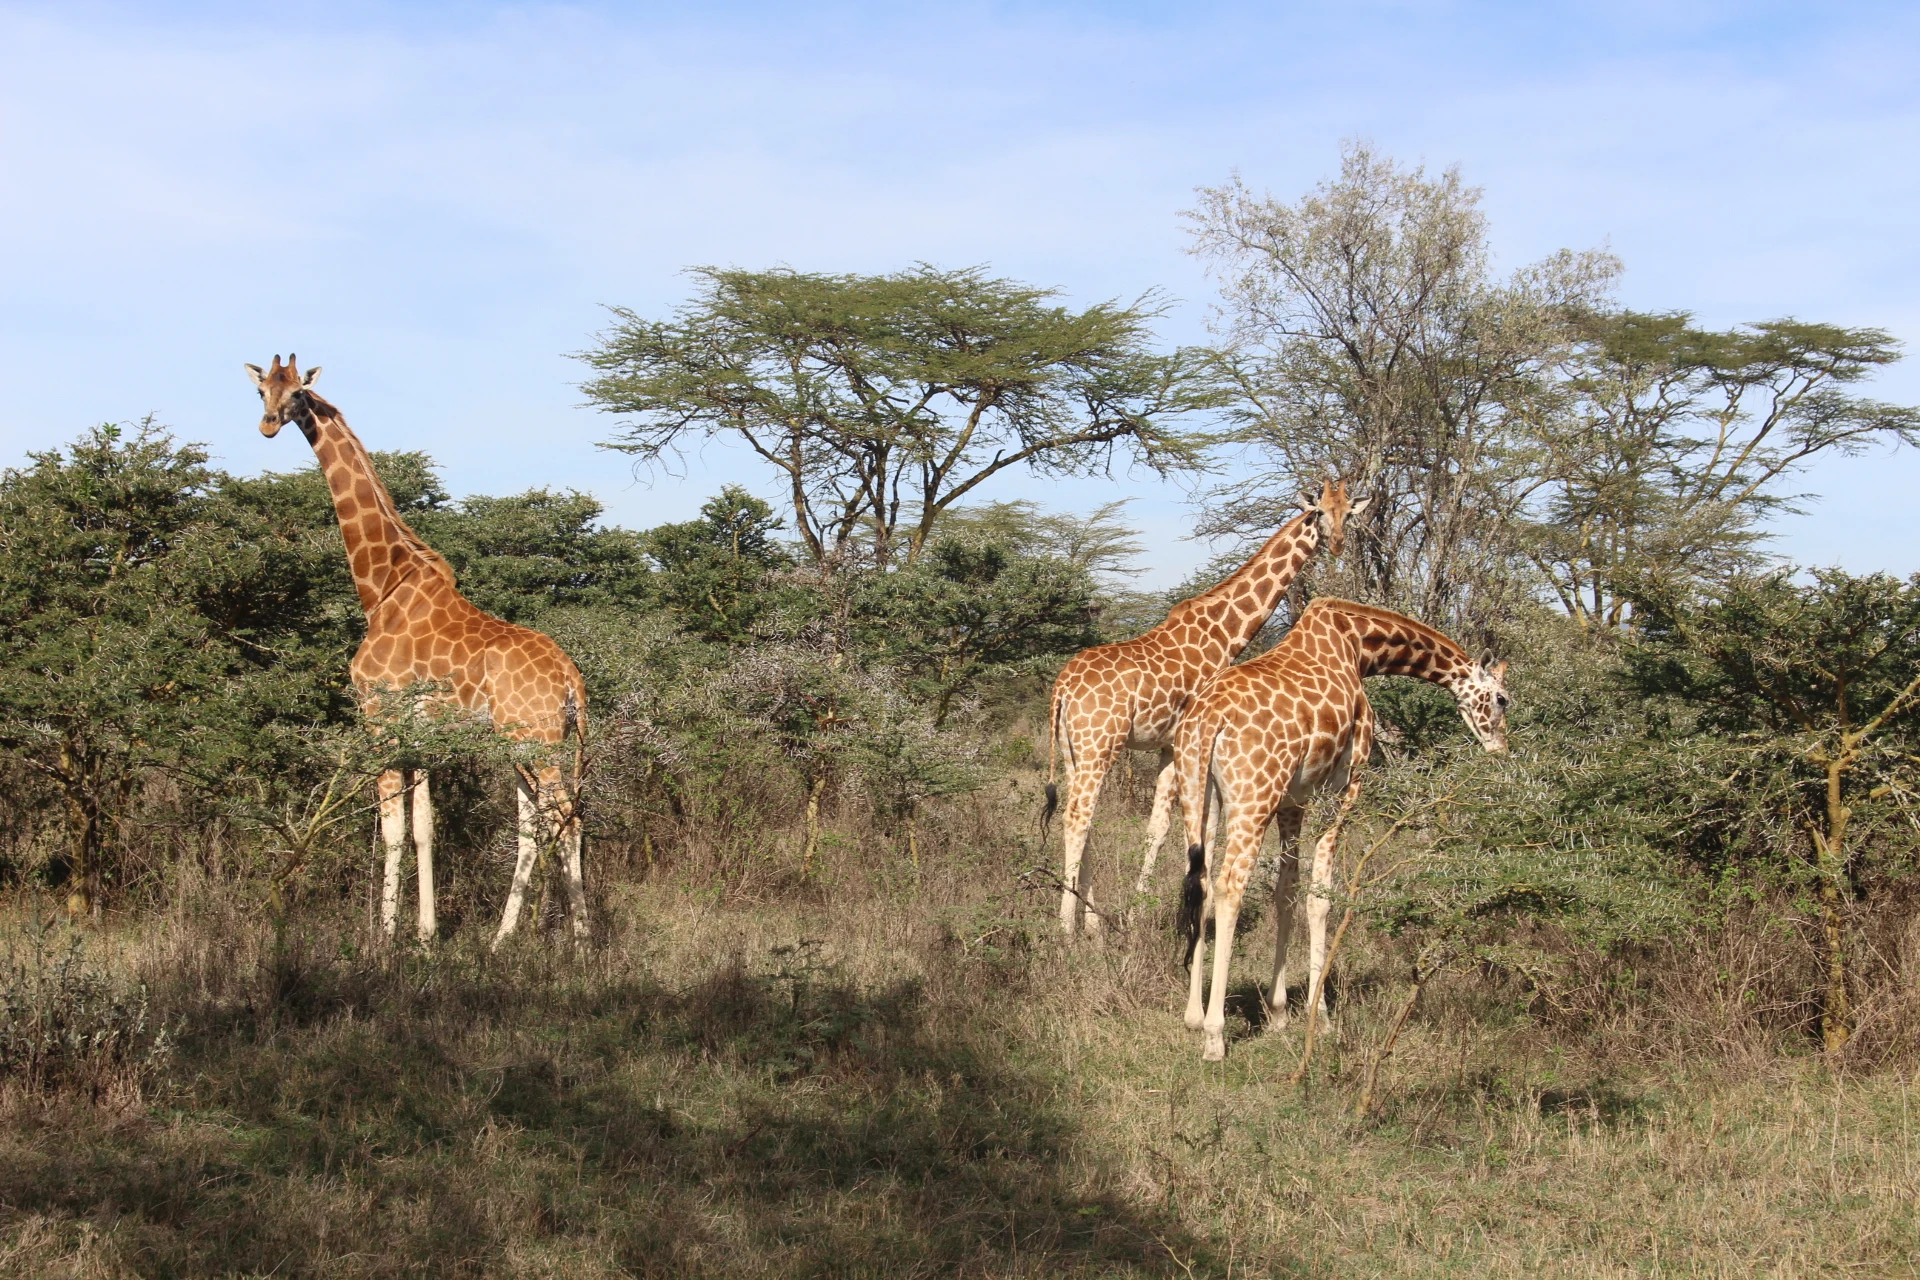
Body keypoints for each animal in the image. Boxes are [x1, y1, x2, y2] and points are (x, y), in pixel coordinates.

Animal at [246, 354, 588, 948]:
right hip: (527, 742)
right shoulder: (419, 732)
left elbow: (392, 829)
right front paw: (426, 937)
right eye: (262, 389)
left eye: (297, 395)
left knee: (568, 818)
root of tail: (572, 678)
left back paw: (583, 943)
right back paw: (504, 939)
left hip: (534, 740)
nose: (268, 424)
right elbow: (425, 826)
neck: (381, 587)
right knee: (539, 823)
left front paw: (383, 941)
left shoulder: (378, 714)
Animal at [1043, 480, 1367, 936]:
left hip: (1073, 749)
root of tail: (1062, 687)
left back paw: (1092, 924)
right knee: (1077, 818)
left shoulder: (1169, 746)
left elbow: (1158, 829)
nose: (1337, 542)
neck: (1223, 634)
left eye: (1348, 514)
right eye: (1319, 512)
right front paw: (1185, 914)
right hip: (1099, 744)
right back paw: (1066, 930)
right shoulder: (1191, 743)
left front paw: (1143, 913)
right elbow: (1194, 831)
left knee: (1082, 820)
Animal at [1173, 598, 1508, 1062]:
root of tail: (1209, 719)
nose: (1501, 750)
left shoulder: (1292, 800)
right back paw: (1214, 1035)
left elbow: (1287, 892)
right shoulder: (1346, 785)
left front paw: (1279, 1013)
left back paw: (1192, 1016)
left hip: (1199, 793)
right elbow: (1321, 898)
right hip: (1254, 795)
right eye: (1503, 698)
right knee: (1229, 887)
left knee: (1201, 882)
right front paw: (1323, 1019)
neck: (1360, 648)